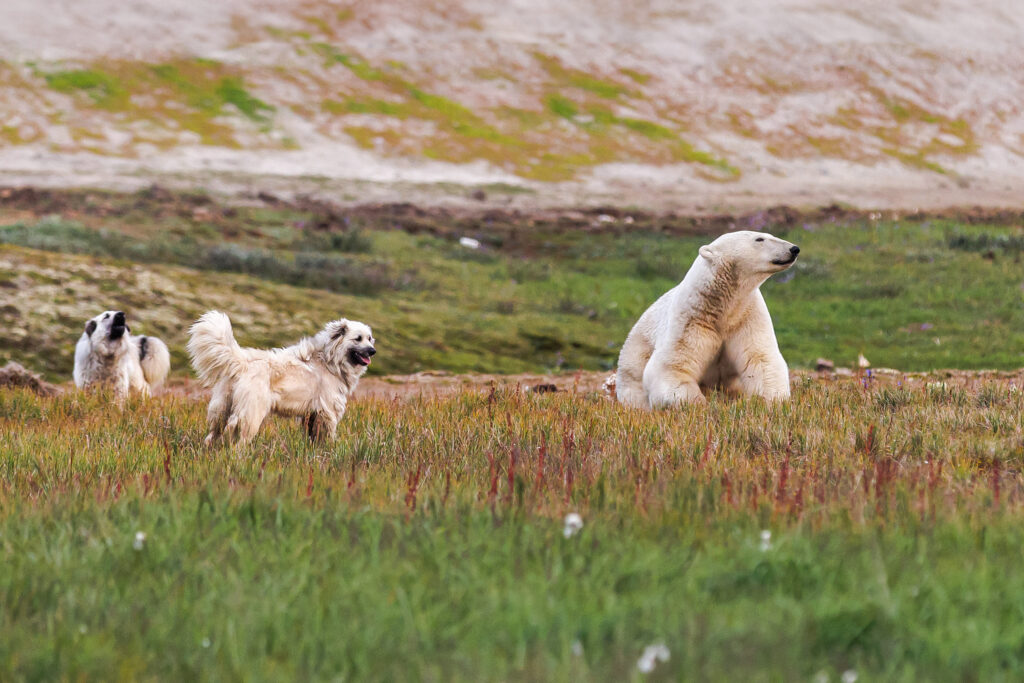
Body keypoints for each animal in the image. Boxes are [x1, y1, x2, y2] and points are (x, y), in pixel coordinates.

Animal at [187, 311, 376, 448]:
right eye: (358, 338)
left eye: (369, 338)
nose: (373, 351)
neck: (330, 360)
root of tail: (243, 363)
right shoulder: (327, 412)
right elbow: (326, 436)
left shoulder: (312, 414)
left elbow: (312, 437)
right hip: (252, 412)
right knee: (237, 434)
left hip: (221, 409)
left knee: (212, 435)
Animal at [614, 229, 798, 411]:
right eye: (759, 239)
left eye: (770, 234)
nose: (794, 249)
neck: (722, 308)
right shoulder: (690, 321)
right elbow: (672, 367)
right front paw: (699, 403)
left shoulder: (747, 315)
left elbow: (761, 359)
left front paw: (769, 401)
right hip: (633, 362)